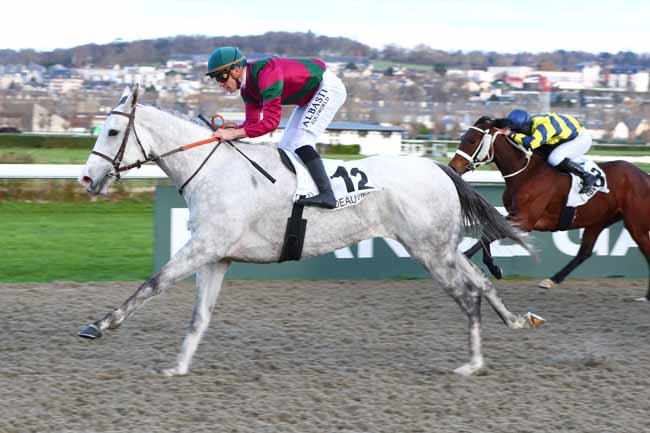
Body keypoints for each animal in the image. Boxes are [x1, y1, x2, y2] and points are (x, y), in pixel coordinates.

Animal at [77, 85, 540, 374]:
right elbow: (199, 316)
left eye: (113, 131)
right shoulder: (216, 256)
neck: (212, 170)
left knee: (467, 293)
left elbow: (153, 283)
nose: (86, 179)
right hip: (440, 247)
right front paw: (178, 367)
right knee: (480, 280)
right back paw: (516, 321)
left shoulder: (204, 247)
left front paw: (99, 325)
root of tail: (439, 167)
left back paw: (473, 363)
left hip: (428, 249)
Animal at [448, 115, 648, 300]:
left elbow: (490, 233)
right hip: (599, 221)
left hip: (635, 224)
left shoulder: (524, 220)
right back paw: (551, 280)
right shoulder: (515, 214)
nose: (452, 167)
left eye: (471, 140)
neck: (527, 173)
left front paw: (469, 260)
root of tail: (644, 176)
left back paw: (646, 296)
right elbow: (488, 230)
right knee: (584, 252)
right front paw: (492, 268)